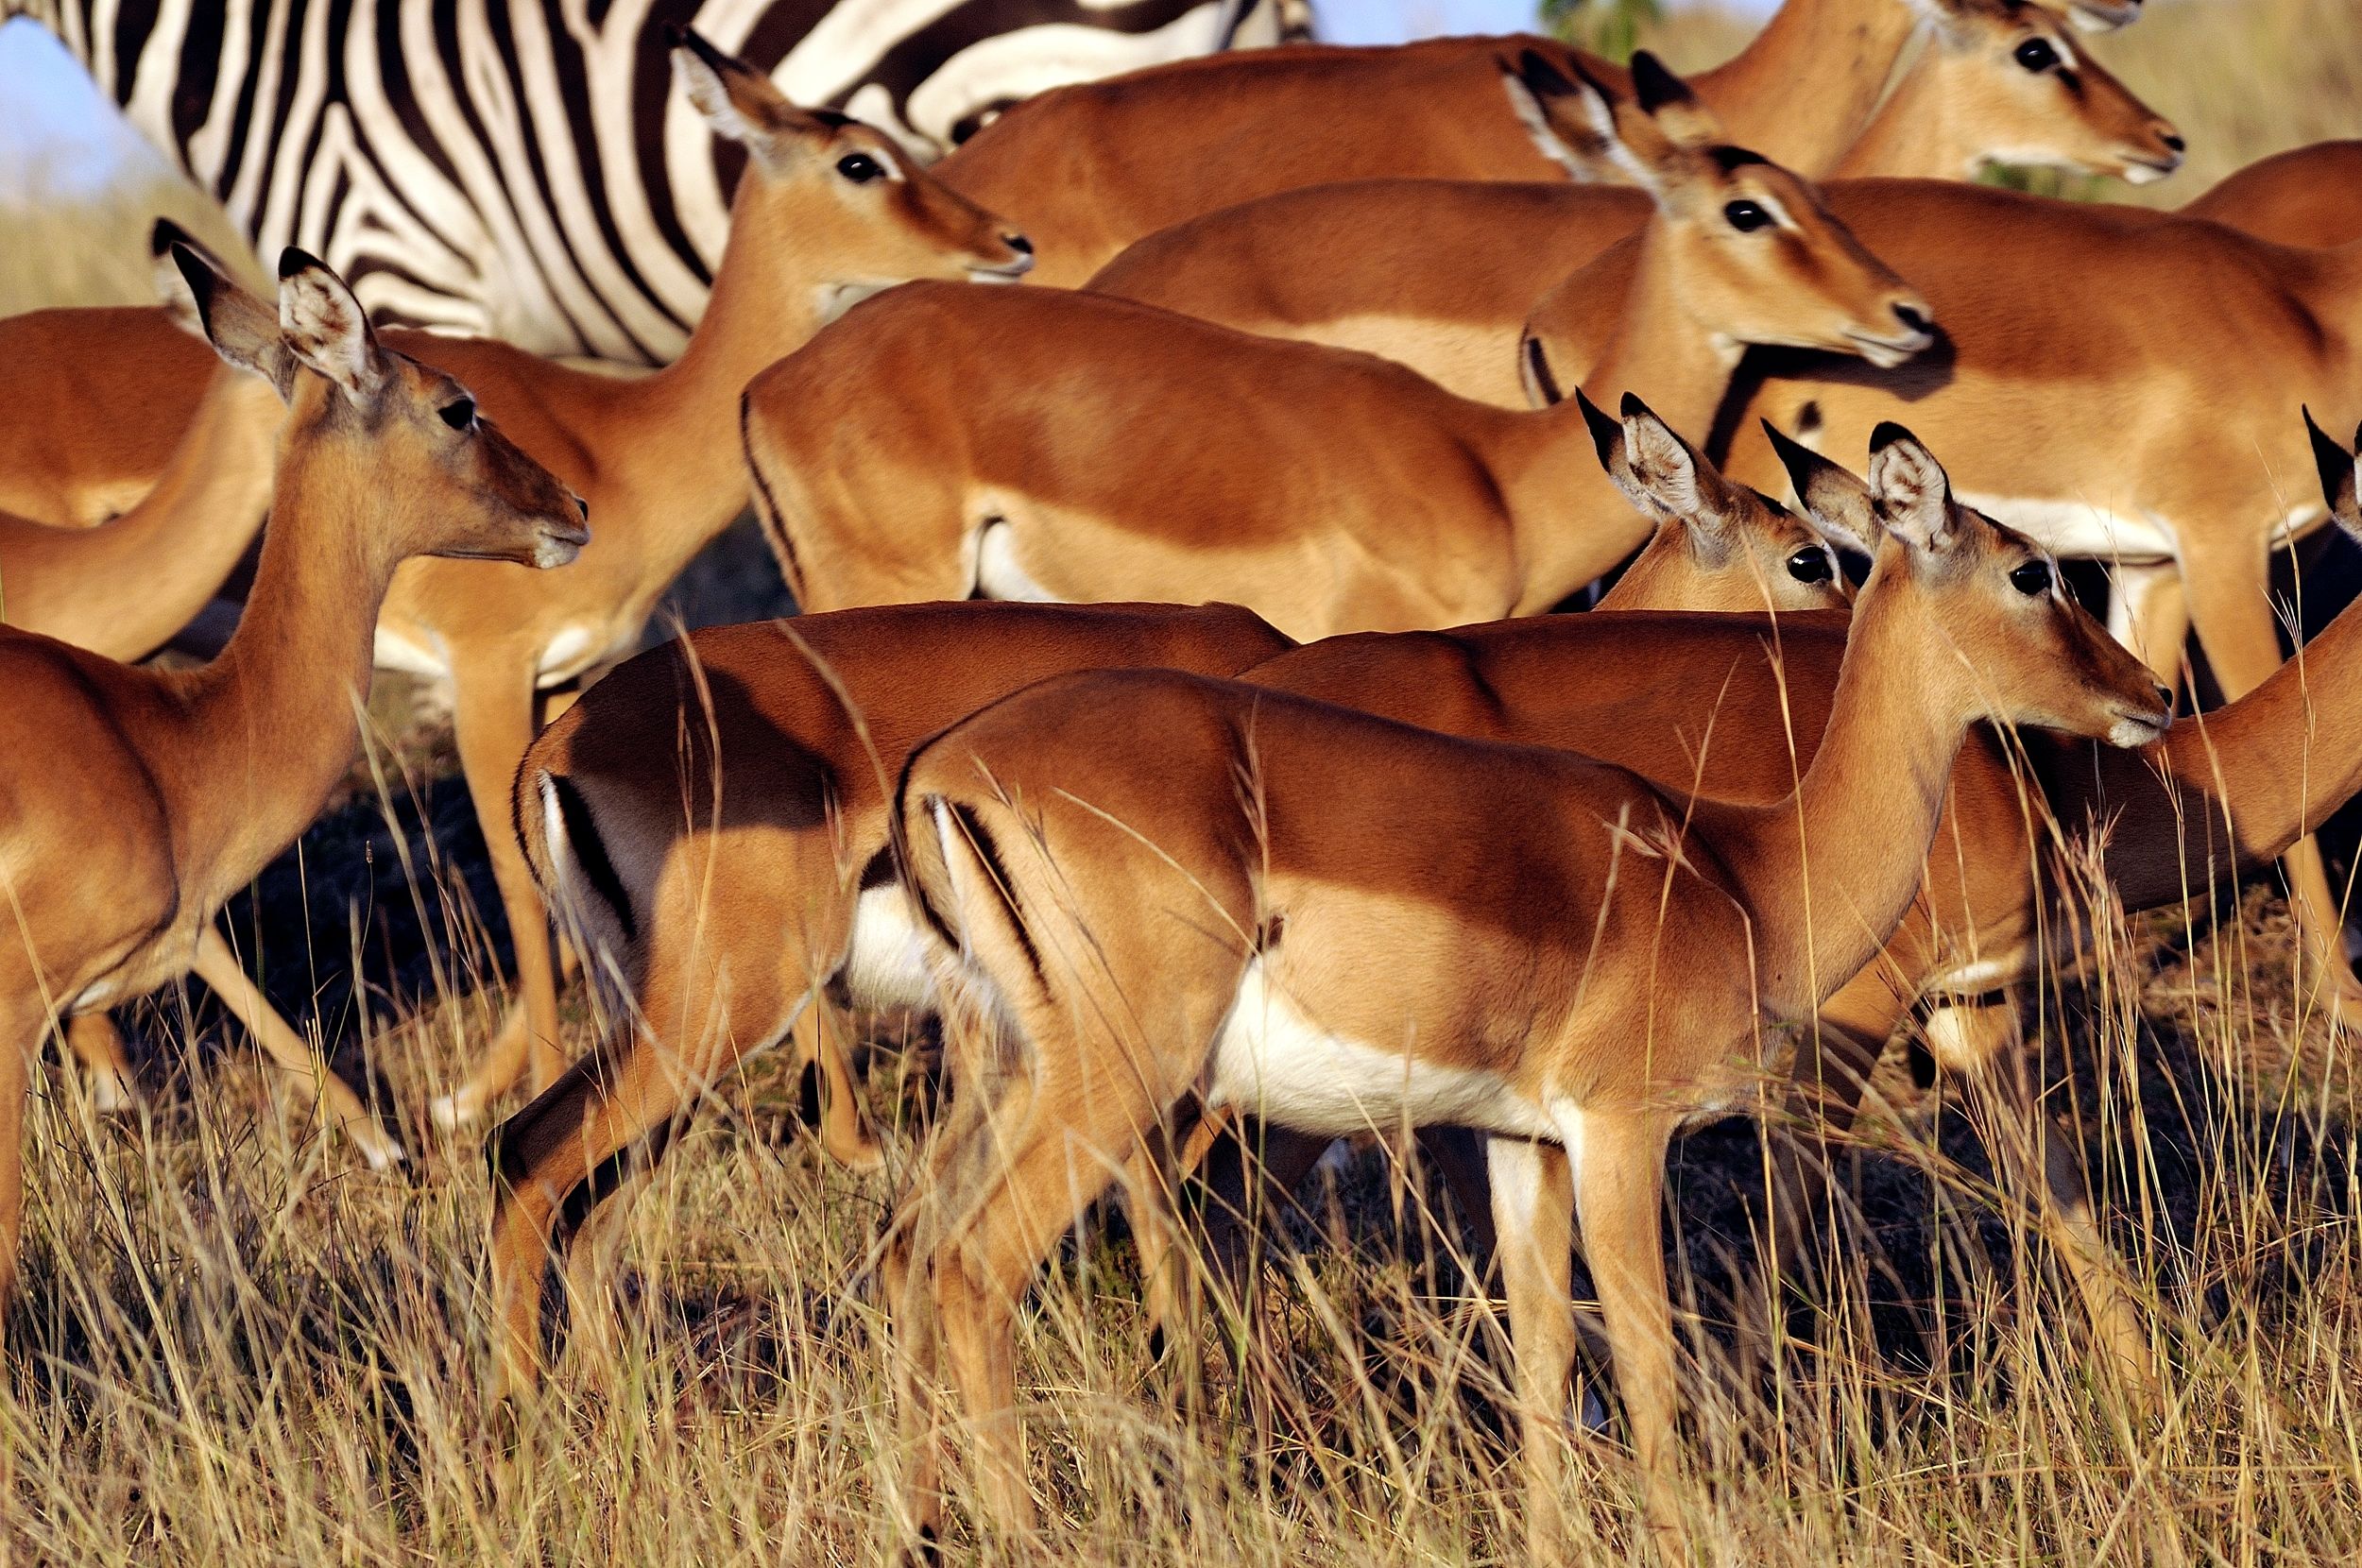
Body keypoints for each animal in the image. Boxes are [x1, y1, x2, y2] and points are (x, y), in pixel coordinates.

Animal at [886, 426, 2171, 1558]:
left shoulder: (1524, 1142)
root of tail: (943, 768)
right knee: (979, 1266)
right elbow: (1648, 1366)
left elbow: (1545, 1361)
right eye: (2030, 570)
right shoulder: (1619, 1130)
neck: (1739, 873)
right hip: (1122, 1081)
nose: (2148, 693)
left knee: (915, 1247)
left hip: (1016, 1071)